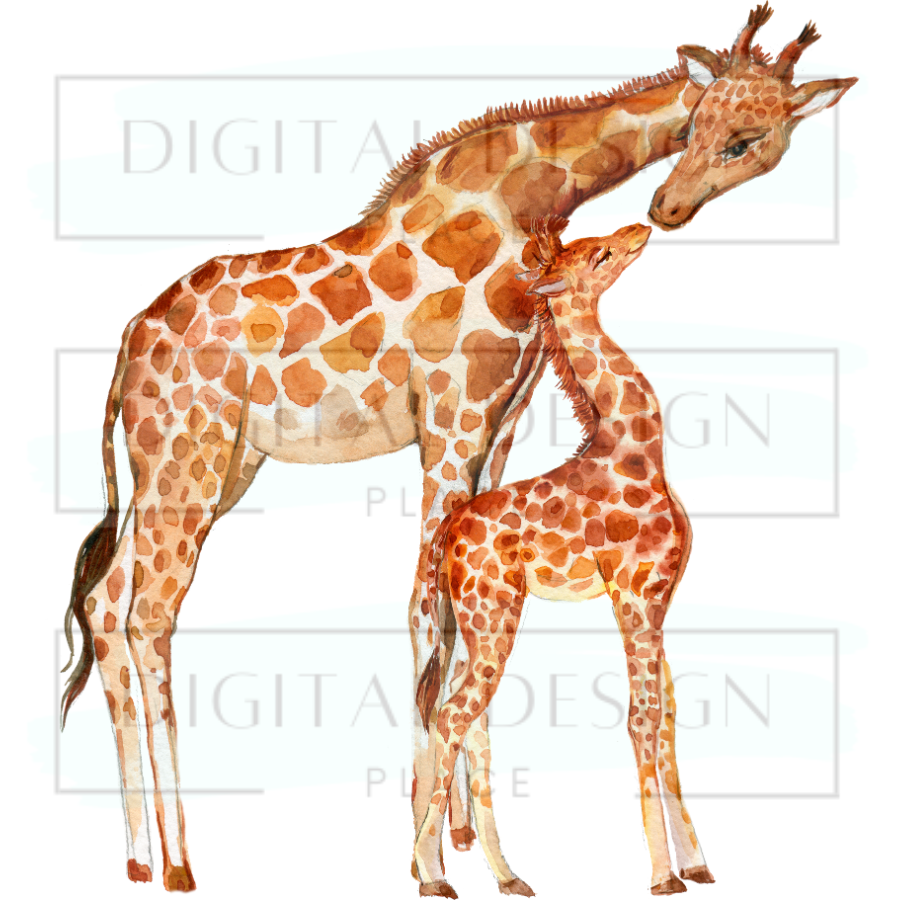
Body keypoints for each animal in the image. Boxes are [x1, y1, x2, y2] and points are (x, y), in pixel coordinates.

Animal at [415, 218, 710, 897]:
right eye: (599, 254)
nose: (639, 228)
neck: (636, 447)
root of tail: (448, 532)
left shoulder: (661, 599)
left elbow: (670, 717)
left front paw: (697, 863)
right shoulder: (634, 593)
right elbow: (643, 717)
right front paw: (663, 874)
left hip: (477, 619)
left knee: (464, 717)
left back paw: (505, 875)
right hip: (495, 613)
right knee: (455, 714)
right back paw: (431, 875)